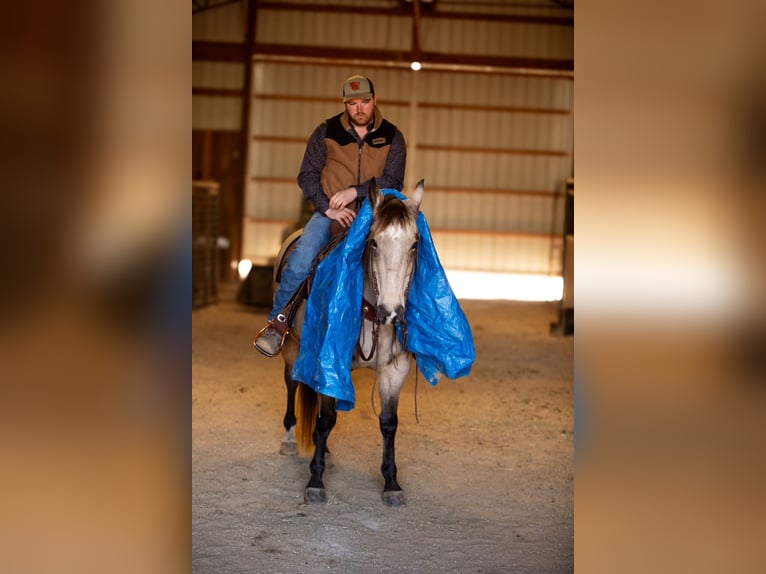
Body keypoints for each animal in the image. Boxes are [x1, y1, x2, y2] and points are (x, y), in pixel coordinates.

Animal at [275, 179, 424, 507]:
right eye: (374, 242)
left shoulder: (395, 369)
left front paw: (392, 483)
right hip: (292, 348)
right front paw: (315, 481)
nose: (392, 312)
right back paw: (290, 440)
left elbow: (388, 422)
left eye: (414, 244)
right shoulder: (329, 359)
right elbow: (326, 418)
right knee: (292, 383)